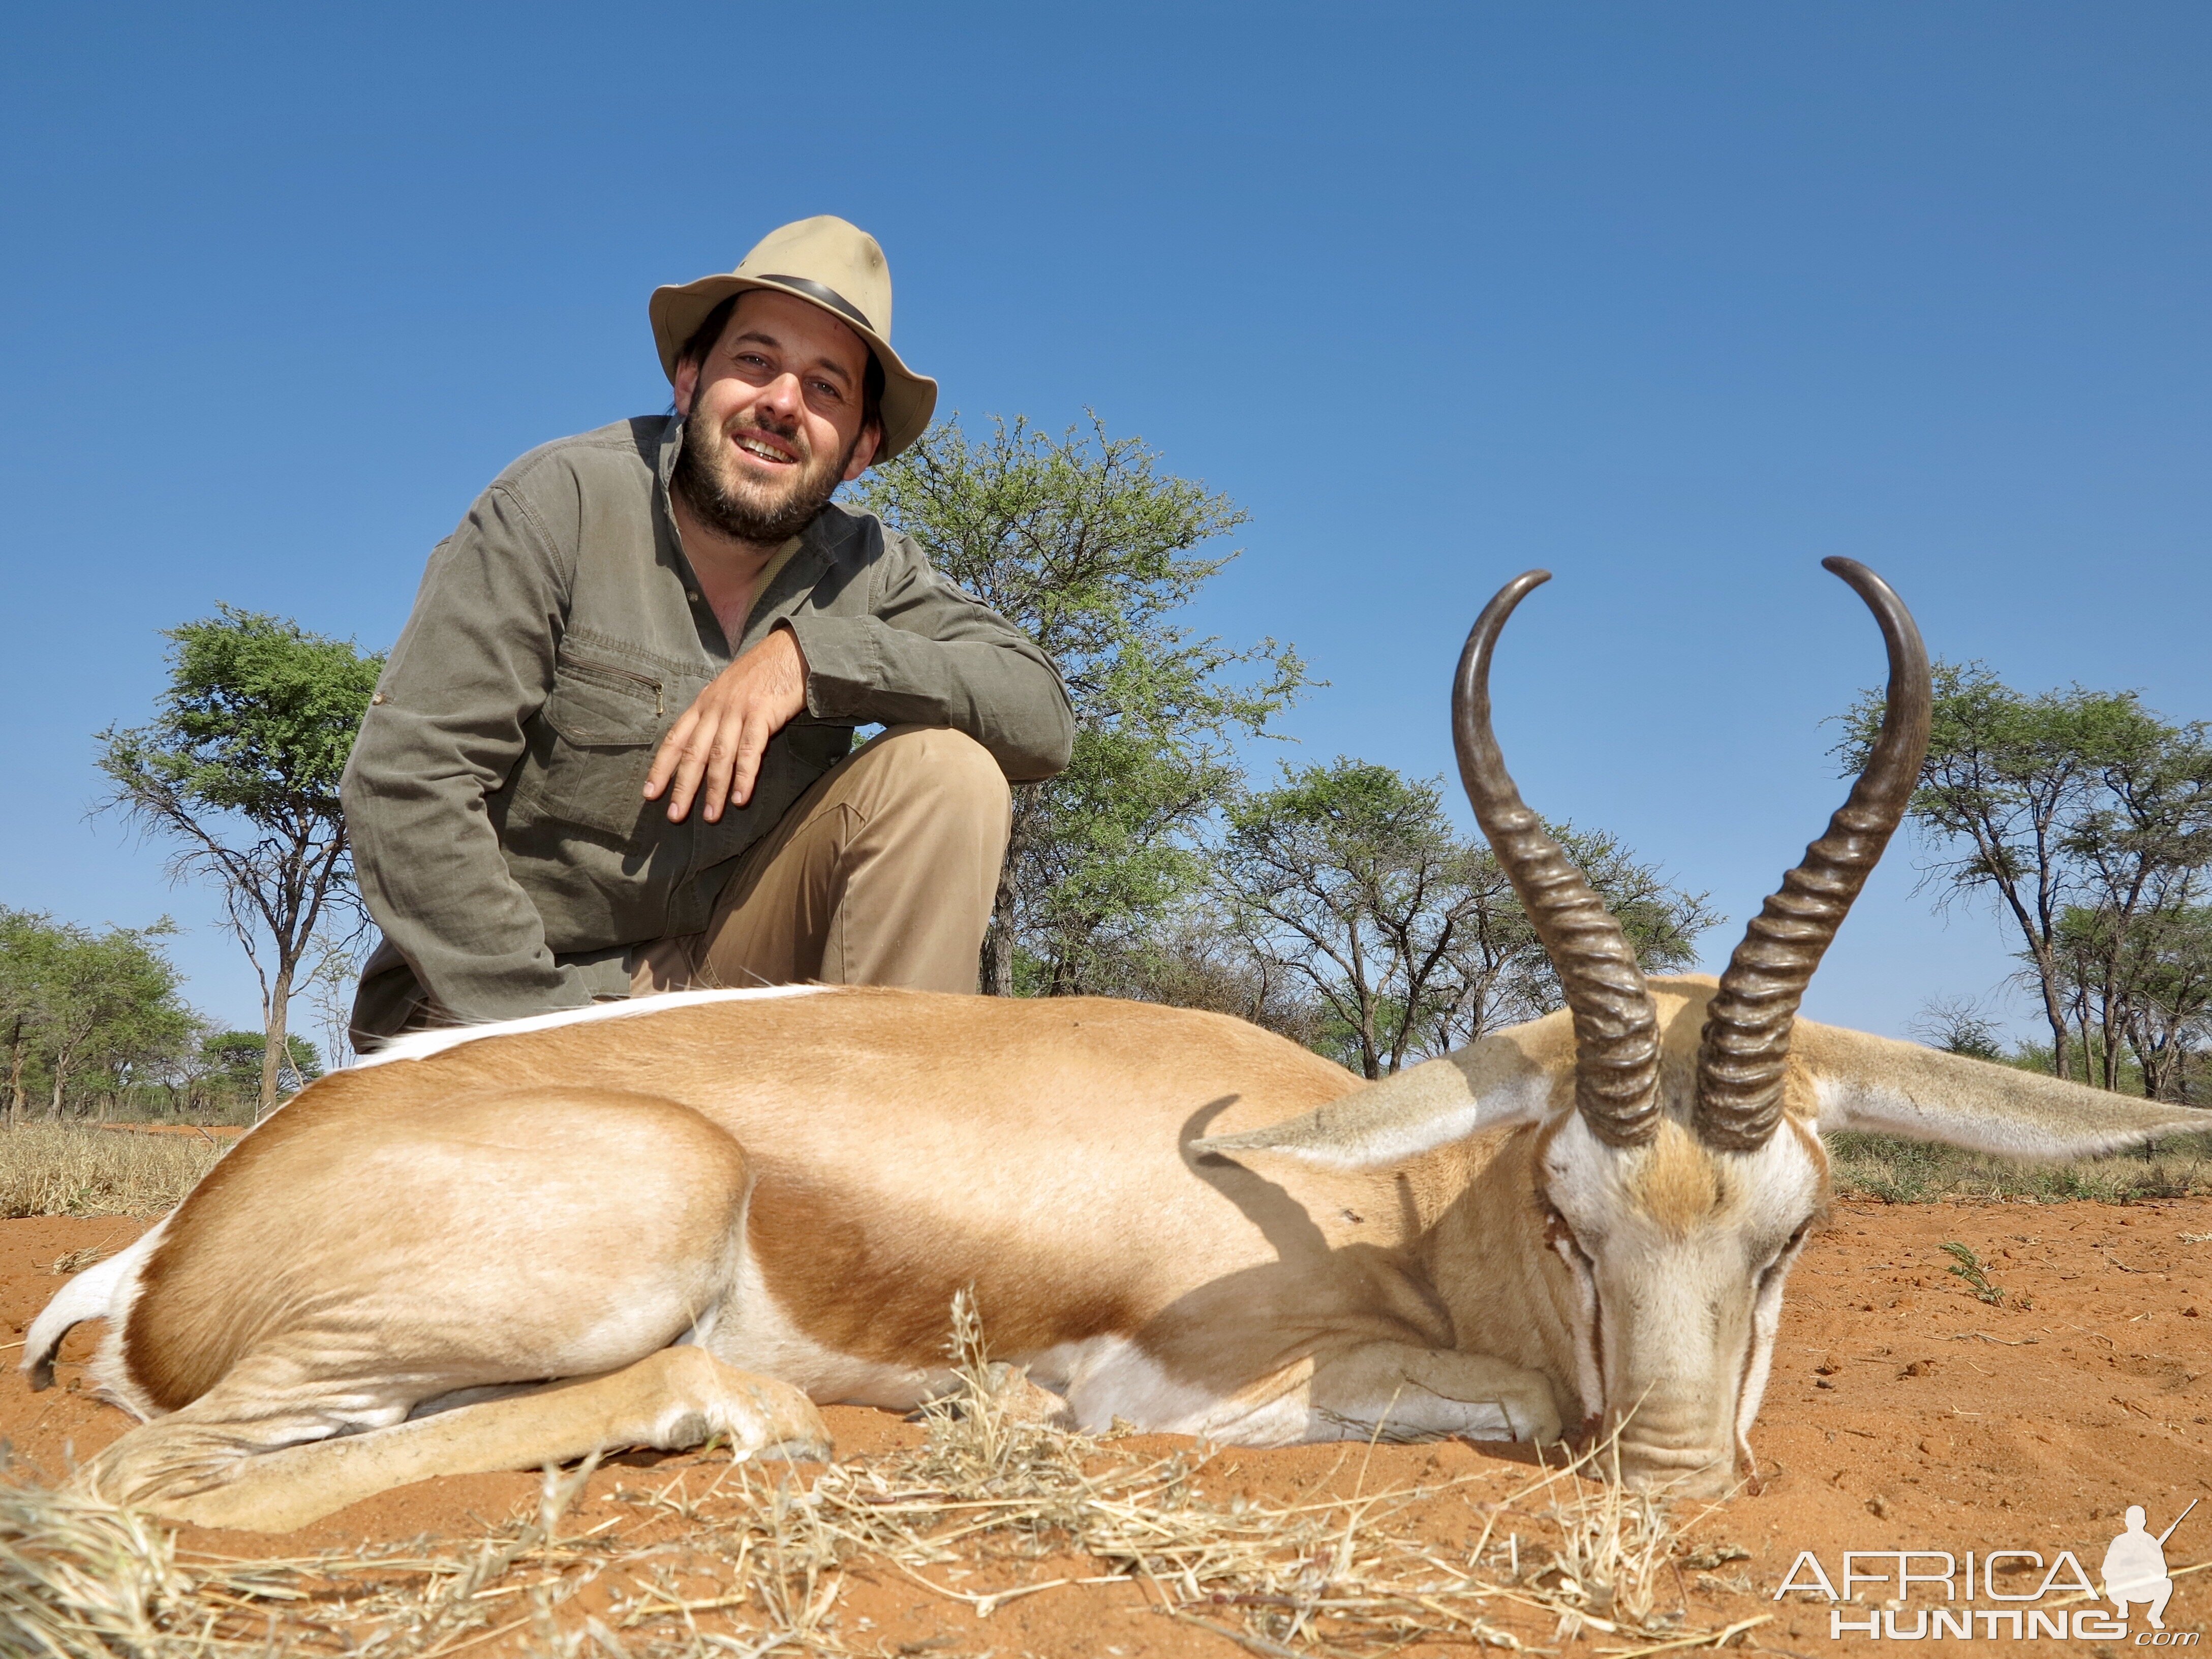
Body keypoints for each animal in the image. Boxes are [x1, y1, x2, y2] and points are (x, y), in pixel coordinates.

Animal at [26, 562, 2203, 1530]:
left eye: (1794, 1229)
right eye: (1571, 1215)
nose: (1669, 1486)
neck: (1388, 1198)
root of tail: (161, 1253)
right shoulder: (1201, 1379)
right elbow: (1496, 1402)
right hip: (631, 1212)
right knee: (137, 1490)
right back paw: (763, 1414)